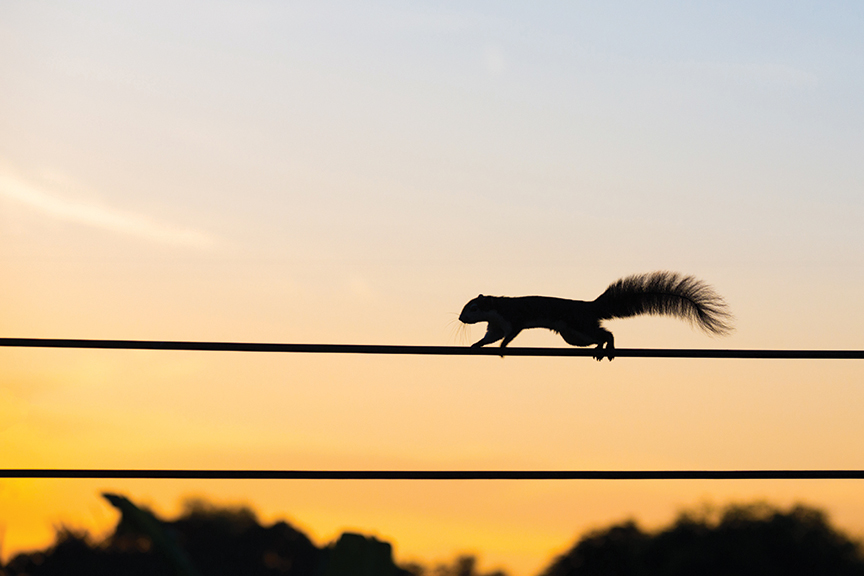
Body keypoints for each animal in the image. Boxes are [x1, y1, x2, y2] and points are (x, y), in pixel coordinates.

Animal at [458, 271, 732, 360]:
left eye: (473, 307)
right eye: (466, 307)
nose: (461, 319)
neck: (496, 309)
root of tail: (589, 307)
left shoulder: (512, 318)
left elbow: (509, 335)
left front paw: (503, 347)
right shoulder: (495, 325)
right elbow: (490, 337)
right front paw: (476, 344)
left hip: (577, 326)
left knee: (606, 332)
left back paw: (608, 347)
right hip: (573, 335)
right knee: (598, 335)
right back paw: (600, 348)